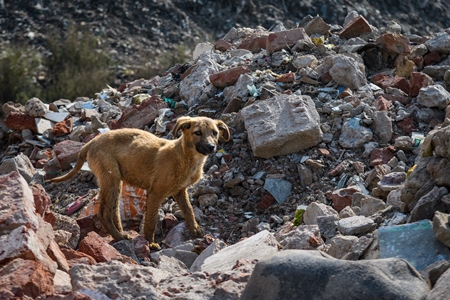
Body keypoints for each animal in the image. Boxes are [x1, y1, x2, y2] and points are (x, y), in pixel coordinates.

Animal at [47, 116, 230, 250]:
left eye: (215, 132)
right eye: (197, 132)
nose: (211, 147)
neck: (185, 156)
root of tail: (91, 142)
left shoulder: (180, 191)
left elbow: (189, 211)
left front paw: (195, 230)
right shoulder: (155, 193)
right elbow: (151, 221)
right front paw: (150, 243)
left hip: (116, 181)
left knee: (113, 210)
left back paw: (121, 234)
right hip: (110, 178)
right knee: (103, 212)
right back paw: (119, 236)